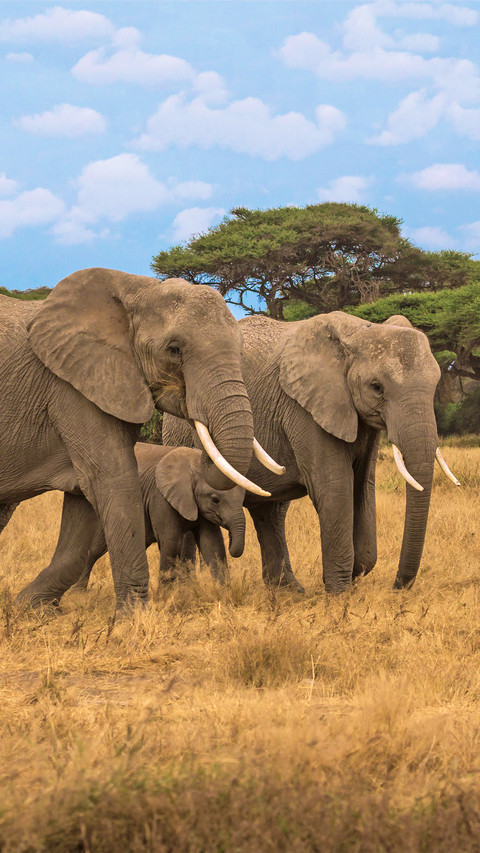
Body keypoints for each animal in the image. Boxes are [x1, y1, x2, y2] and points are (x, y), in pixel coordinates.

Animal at [34, 444, 246, 596]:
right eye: (215, 499)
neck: (193, 464)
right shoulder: (160, 498)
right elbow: (171, 542)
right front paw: (166, 597)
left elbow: (212, 544)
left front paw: (224, 594)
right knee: (94, 549)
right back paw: (77, 594)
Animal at [163, 311, 458, 594]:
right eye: (377, 387)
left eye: (436, 384)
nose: (397, 588)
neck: (358, 332)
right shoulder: (304, 408)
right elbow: (335, 487)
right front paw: (340, 594)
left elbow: (363, 487)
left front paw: (354, 575)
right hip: (179, 428)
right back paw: (187, 587)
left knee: (271, 511)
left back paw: (289, 591)